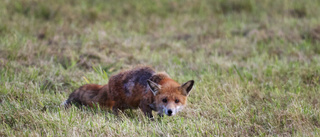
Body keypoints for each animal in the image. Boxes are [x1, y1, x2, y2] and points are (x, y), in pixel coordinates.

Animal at [61, 66, 194, 117]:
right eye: (164, 100)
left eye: (177, 101)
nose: (170, 111)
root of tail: (108, 83)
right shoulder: (143, 104)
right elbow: (150, 117)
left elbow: (160, 115)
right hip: (125, 103)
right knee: (114, 109)